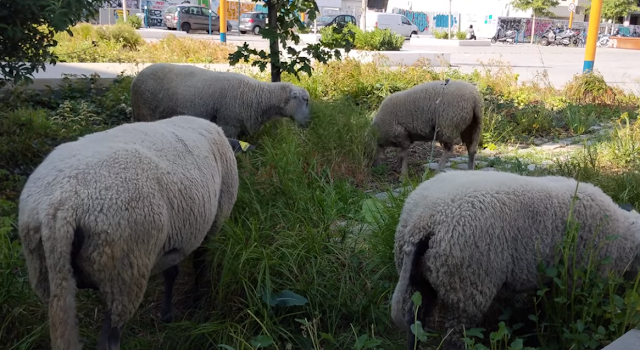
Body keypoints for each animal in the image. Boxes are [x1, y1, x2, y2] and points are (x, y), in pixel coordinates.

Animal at [18, 115, 252, 350]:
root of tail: (60, 209)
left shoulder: (175, 237)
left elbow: (172, 272)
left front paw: (167, 314)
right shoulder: (213, 223)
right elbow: (201, 265)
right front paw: (199, 304)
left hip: (48, 273)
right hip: (124, 271)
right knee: (110, 339)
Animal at [130, 62, 310, 139]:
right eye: (305, 99)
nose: (309, 124)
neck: (258, 97)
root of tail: (135, 79)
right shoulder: (228, 124)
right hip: (145, 112)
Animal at [390, 170, 640, 350]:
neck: (623, 238)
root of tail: (423, 221)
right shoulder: (576, 281)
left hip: (420, 281)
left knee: (415, 324)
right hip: (467, 286)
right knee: (455, 337)